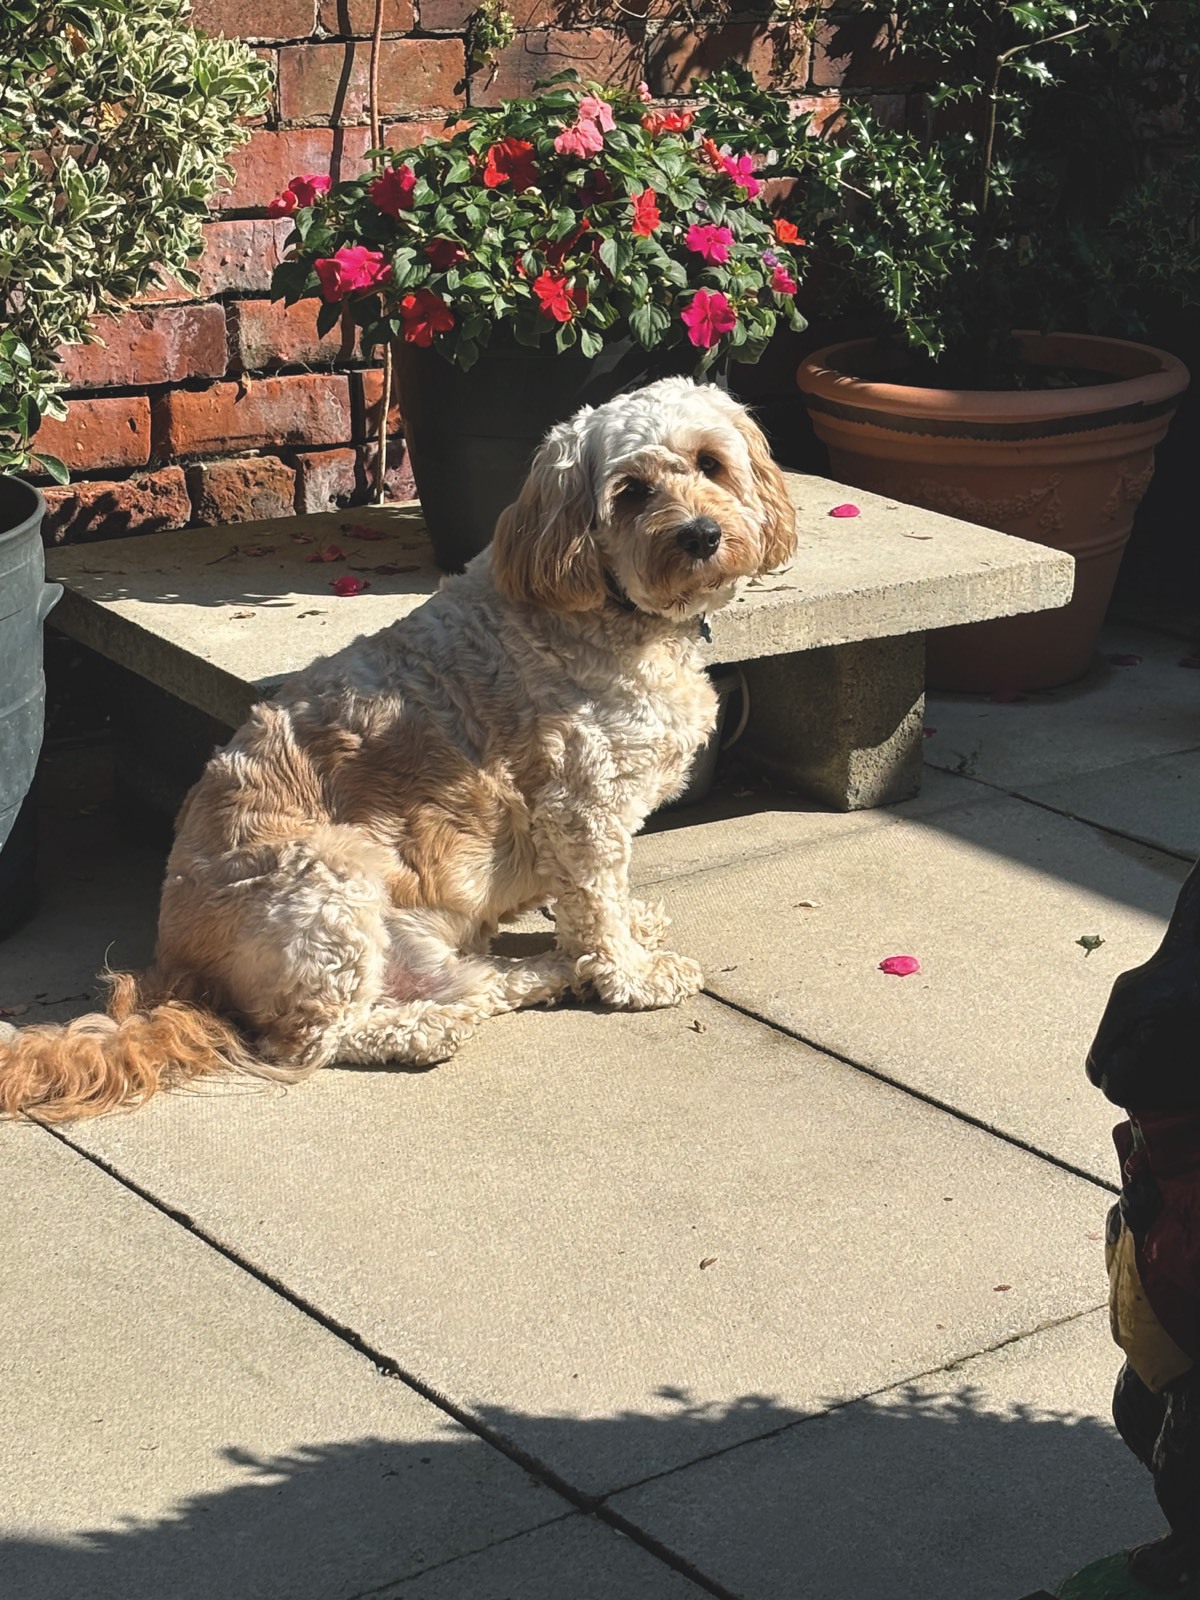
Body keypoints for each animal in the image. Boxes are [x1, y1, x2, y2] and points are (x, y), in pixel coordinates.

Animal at [0, 379, 800, 1120]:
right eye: (630, 492)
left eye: (710, 463)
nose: (700, 535)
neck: (608, 609)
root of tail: (177, 971)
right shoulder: (583, 809)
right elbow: (596, 905)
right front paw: (630, 975)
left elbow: (605, 902)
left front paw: (629, 932)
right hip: (326, 888)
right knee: (313, 1042)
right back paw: (428, 1030)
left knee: (466, 984)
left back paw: (537, 976)